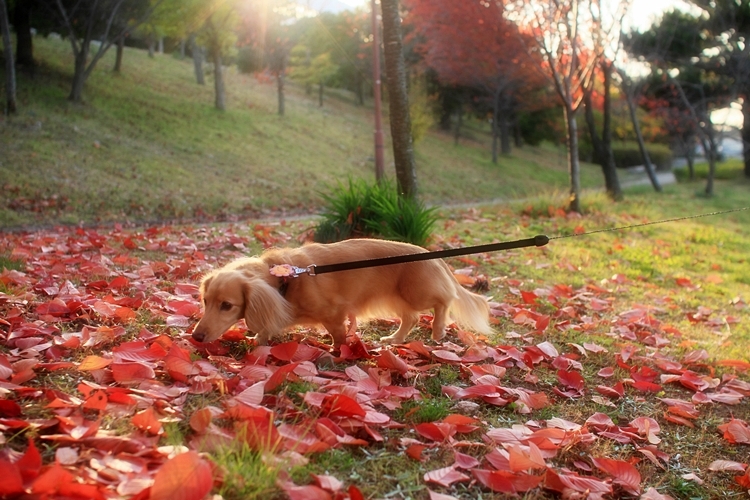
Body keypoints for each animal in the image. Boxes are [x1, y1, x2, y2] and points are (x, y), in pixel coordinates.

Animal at [191, 238, 494, 348]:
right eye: (206, 301)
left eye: (227, 305)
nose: (196, 337)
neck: (284, 280)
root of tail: (432, 256)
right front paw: (258, 339)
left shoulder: (334, 313)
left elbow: (338, 334)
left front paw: (335, 351)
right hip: (397, 298)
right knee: (411, 318)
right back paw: (395, 339)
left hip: (416, 293)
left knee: (443, 301)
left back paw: (439, 329)